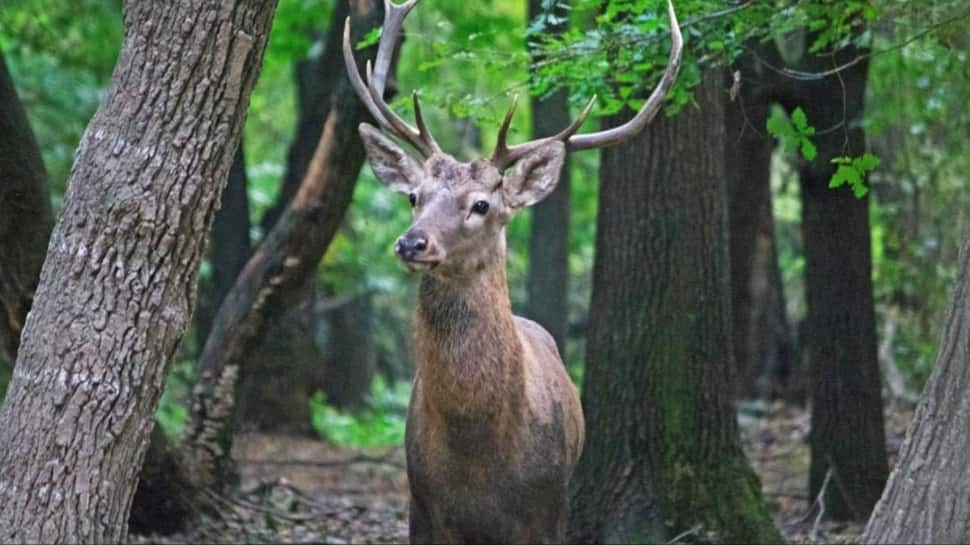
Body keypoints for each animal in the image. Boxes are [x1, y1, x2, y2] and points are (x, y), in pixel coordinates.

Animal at [342, 2, 680, 540]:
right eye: (415, 196)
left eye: (481, 204)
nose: (412, 242)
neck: (479, 456)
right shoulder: (422, 504)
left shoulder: (548, 507)